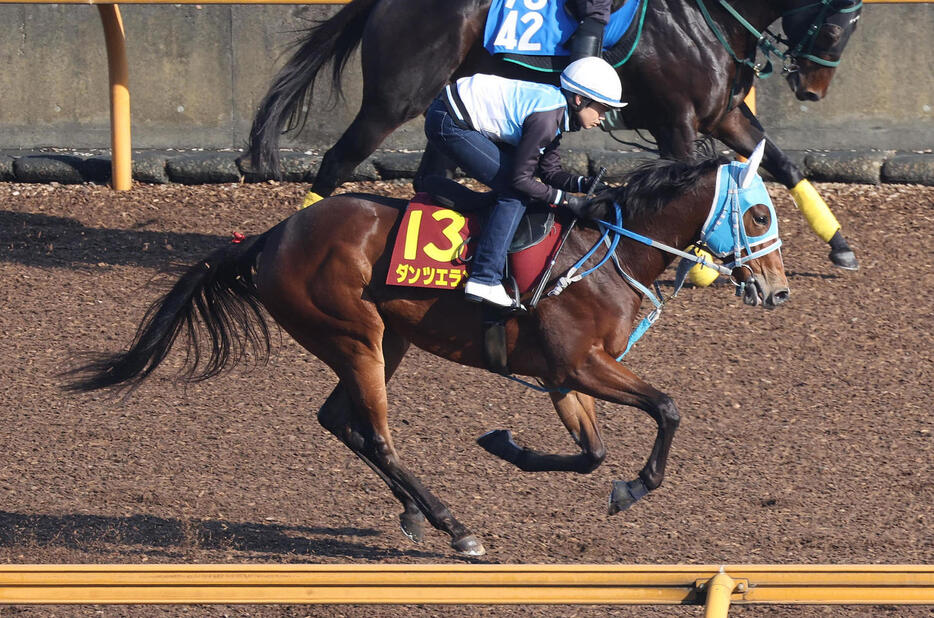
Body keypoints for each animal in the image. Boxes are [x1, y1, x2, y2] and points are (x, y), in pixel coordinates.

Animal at [67, 150, 788, 552]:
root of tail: (272, 235)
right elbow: (666, 408)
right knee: (377, 434)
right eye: (758, 214)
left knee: (339, 420)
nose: (777, 290)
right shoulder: (581, 364)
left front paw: (507, 443)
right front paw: (634, 486)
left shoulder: (563, 375)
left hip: (387, 341)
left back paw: (415, 511)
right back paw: (452, 525)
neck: (607, 252)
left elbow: (593, 452)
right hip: (355, 337)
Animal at [247, 0, 864, 270]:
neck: (703, 20)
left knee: (433, 177)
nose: (812, 90)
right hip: (392, 99)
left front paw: (838, 242)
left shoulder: (724, 115)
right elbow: (691, 178)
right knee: (337, 161)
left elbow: (783, 165)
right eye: (835, 28)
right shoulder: (677, 122)